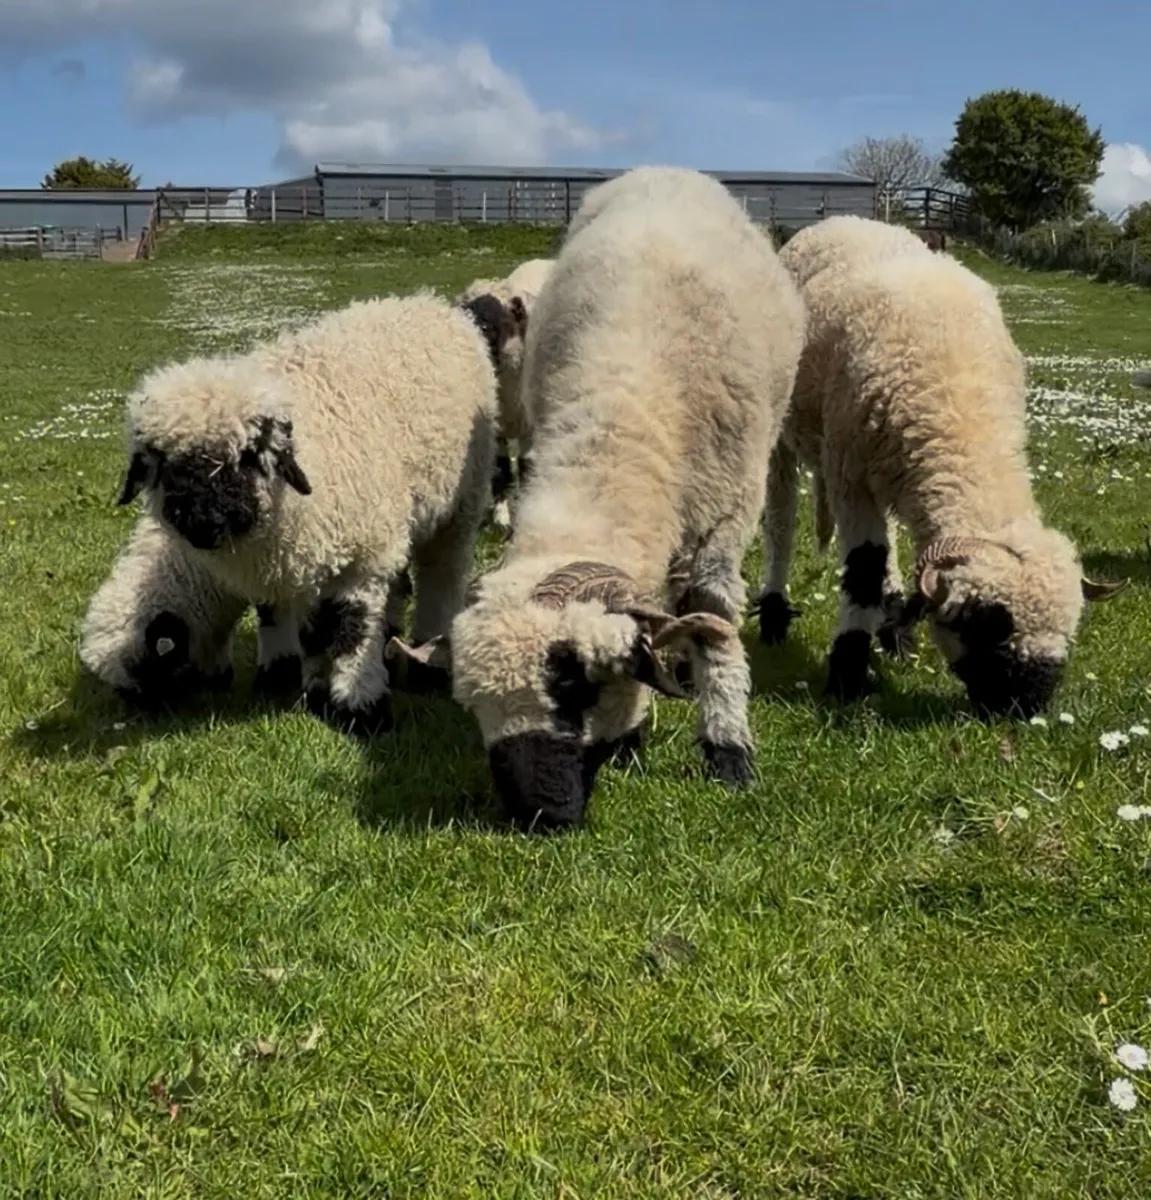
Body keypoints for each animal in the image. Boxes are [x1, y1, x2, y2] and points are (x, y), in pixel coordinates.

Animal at [114, 289, 510, 734]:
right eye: (160, 463)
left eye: (248, 456)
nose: (203, 524)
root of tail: (434, 304)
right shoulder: (287, 563)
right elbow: (288, 620)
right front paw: (289, 682)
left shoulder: (364, 557)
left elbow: (353, 629)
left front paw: (360, 707)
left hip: (460, 503)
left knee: (441, 576)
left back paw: (428, 660)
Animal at [391, 165, 806, 830]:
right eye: (474, 706)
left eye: (573, 687)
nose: (537, 815)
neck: (621, 423)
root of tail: (664, 169)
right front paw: (634, 738)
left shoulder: (726, 516)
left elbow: (713, 620)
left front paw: (727, 747)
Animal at [756, 240, 1125, 718]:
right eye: (990, 624)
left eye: (1070, 630)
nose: (1023, 709)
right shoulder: (848, 474)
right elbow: (864, 568)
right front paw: (847, 677)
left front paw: (890, 637)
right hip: (784, 431)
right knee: (780, 525)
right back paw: (773, 618)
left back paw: (893, 633)